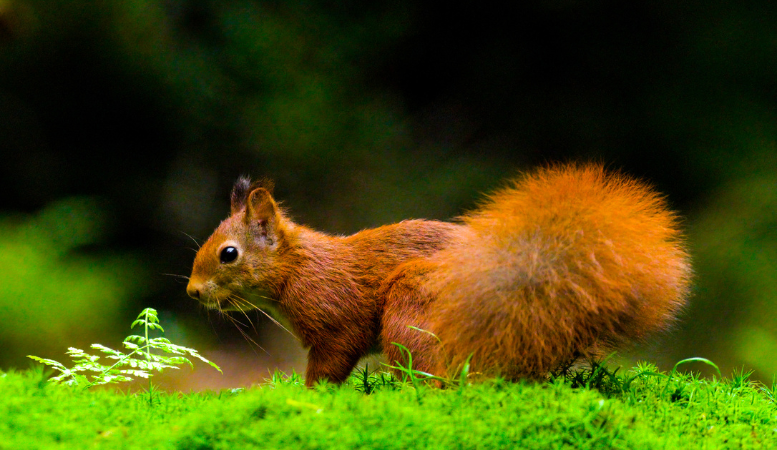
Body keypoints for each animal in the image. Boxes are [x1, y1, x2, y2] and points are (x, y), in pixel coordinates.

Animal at [188, 163, 692, 384]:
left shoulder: (336, 320)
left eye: (229, 254)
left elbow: (332, 361)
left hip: (412, 304)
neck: (298, 267)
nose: (192, 292)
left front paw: (313, 394)